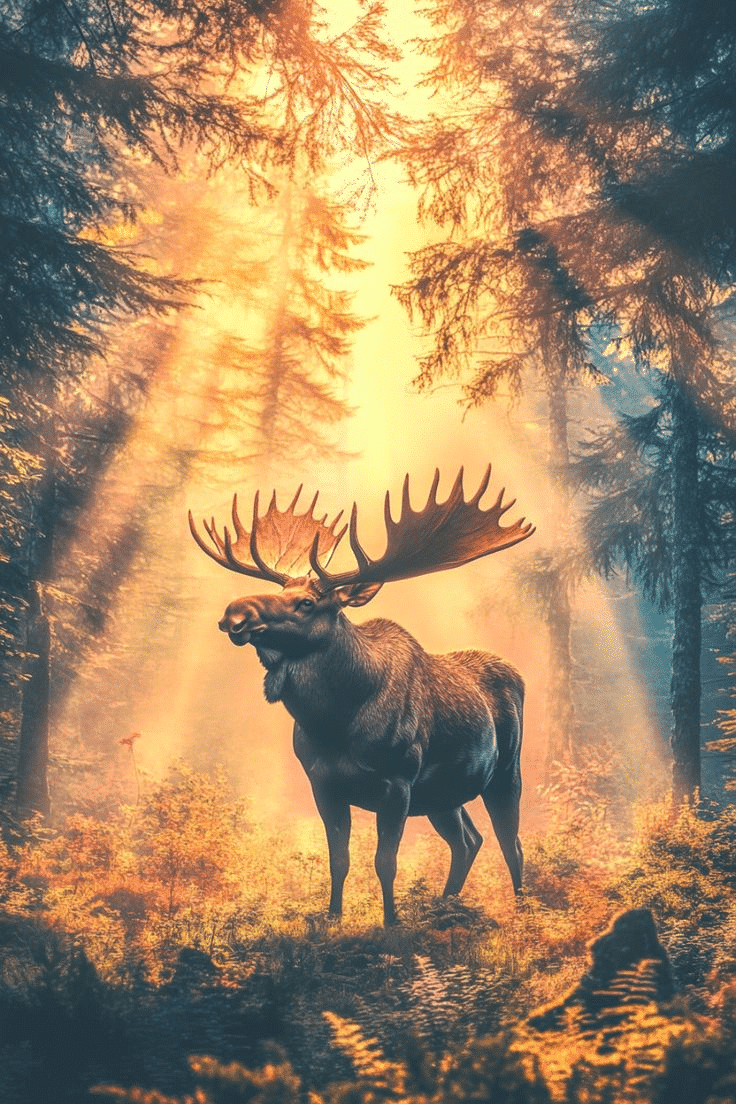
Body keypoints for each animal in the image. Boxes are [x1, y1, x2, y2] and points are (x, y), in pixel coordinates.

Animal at [189, 466, 534, 925]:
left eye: (306, 602)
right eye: (282, 593)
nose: (235, 613)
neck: (335, 723)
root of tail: (517, 674)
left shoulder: (398, 781)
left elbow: (385, 862)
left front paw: (391, 923)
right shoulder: (323, 784)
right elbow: (340, 860)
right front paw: (332, 919)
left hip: (505, 771)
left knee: (511, 844)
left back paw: (523, 914)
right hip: (443, 793)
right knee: (468, 840)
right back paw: (443, 909)